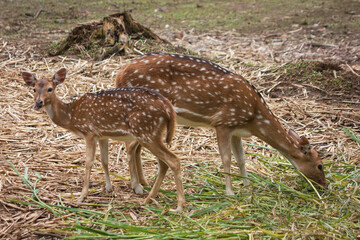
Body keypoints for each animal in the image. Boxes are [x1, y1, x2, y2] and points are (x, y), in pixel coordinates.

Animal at [22, 68, 184, 212]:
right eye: (34, 89)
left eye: (50, 89)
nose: (38, 103)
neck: (71, 115)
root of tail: (168, 106)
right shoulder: (102, 135)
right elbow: (105, 161)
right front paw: (109, 188)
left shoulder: (89, 132)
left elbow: (89, 162)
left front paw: (82, 196)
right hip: (154, 134)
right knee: (164, 163)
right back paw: (148, 199)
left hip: (146, 132)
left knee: (173, 160)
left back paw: (179, 206)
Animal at [115, 53, 326, 195]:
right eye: (320, 166)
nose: (325, 185)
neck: (254, 116)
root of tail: (119, 74)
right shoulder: (223, 121)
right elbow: (226, 158)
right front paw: (230, 192)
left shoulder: (237, 129)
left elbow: (241, 158)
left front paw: (247, 186)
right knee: (130, 146)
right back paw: (137, 187)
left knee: (136, 147)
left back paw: (144, 183)